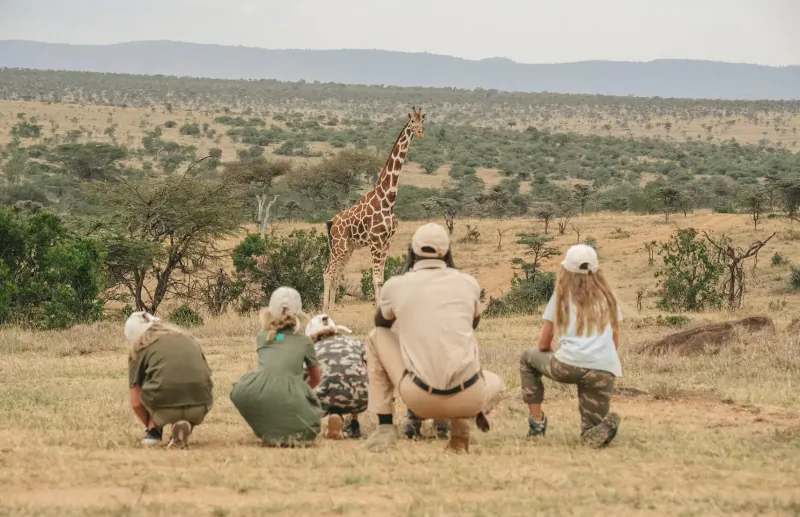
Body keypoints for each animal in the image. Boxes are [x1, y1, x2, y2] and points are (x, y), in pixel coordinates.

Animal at [322, 107, 425, 312]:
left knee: (336, 274)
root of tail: (332, 222)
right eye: (412, 122)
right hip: (339, 246)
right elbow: (376, 279)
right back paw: (323, 310)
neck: (388, 199)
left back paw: (332, 310)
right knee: (328, 272)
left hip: (348, 248)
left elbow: (382, 279)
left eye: (423, 121)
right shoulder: (376, 241)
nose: (419, 132)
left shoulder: (386, 242)